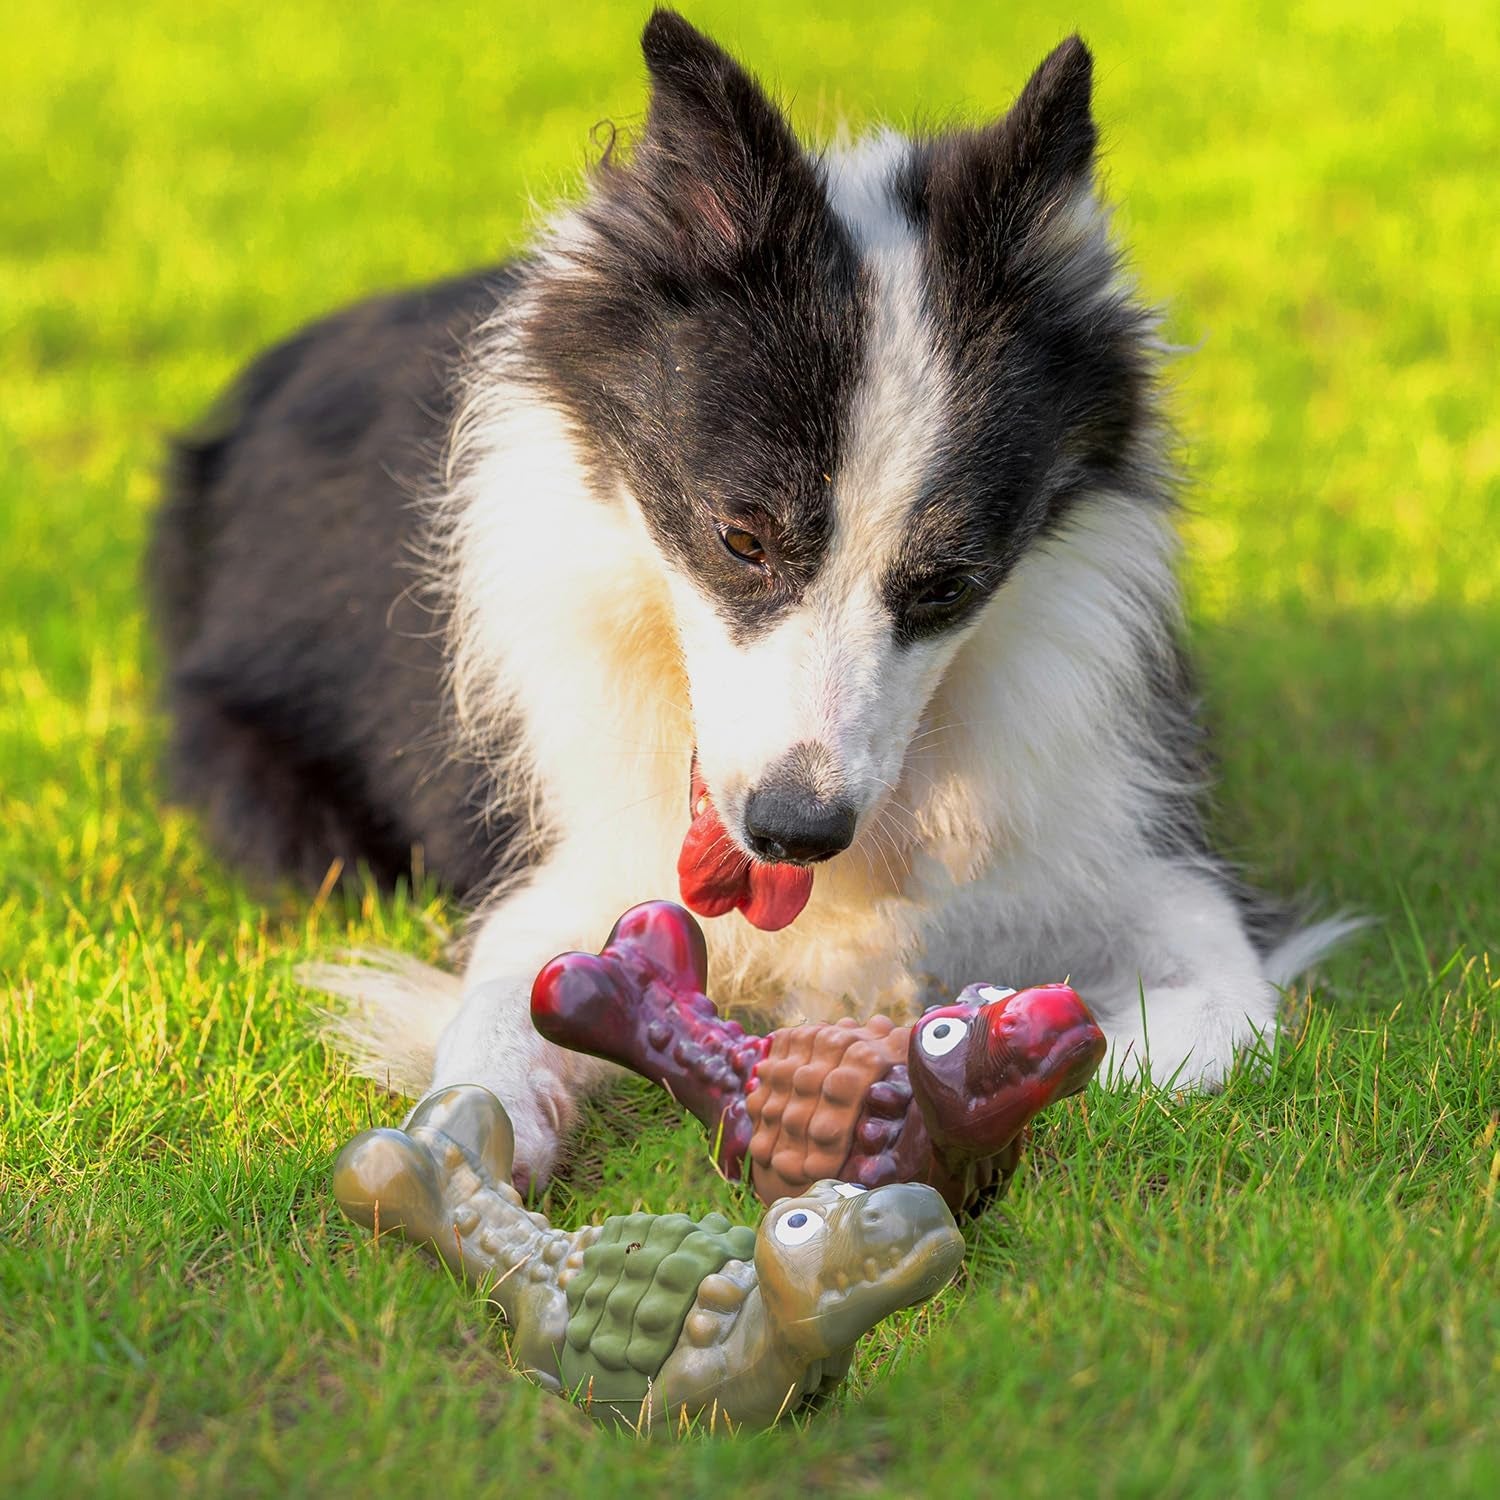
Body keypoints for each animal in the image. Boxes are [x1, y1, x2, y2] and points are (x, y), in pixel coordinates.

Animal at [149, 11, 1350, 1182]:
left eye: (949, 581)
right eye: (741, 538)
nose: (794, 832)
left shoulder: (1136, 851)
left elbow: (1212, 1022)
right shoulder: (568, 867)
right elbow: (496, 1007)